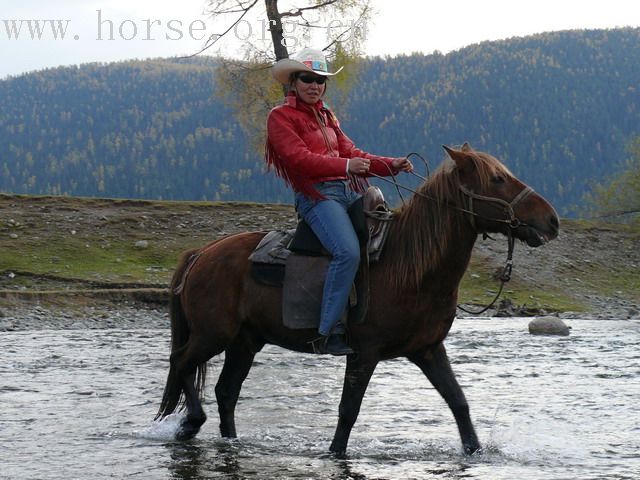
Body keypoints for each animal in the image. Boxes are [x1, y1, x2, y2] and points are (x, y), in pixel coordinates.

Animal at [155, 142, 560, 454]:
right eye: (497, 179)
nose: (552, 220)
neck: (410, 268)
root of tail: (202, 253)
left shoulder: (428, 350)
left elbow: (458, 402)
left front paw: (475, 450)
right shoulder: (363, 353)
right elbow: (348, 412)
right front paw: (334, 453)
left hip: (245, 342)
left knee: (226, 392)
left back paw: (230, 440)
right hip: (213, 334)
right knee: (181, 362)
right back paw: (192, 422)